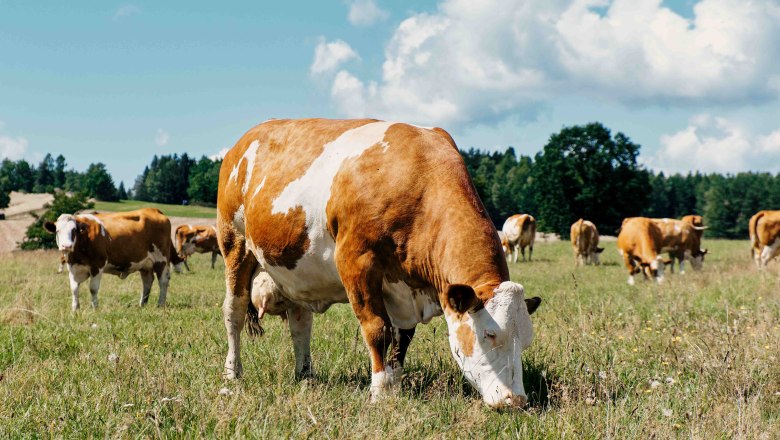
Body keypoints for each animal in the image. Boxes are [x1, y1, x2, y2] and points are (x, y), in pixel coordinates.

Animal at [44, 209, 183, 310]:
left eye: (74, 230)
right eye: (57, 231)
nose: (66, 246)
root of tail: (154, 210)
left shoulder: (97, 265)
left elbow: (93, 288)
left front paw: (95, 308)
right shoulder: (73, 267)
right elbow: (74, 289)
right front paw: (75, 309)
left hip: (161, 259)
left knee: (163, 281)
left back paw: (160, 304)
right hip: (145, 264)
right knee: (147, 282)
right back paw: (142, 304)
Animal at [215, 119, 544, 410]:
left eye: (526, 341)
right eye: (490, 334)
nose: (516, 401)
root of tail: (244, 140)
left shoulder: (404, 286)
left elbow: (403, 337)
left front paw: (394, 384)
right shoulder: (357, 262)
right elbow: (377, 330)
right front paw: (379, 390)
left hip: (295, 269)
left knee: (300, 322)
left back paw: (305, 374)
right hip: (235, 244)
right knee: (234, 312)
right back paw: (232, 373)